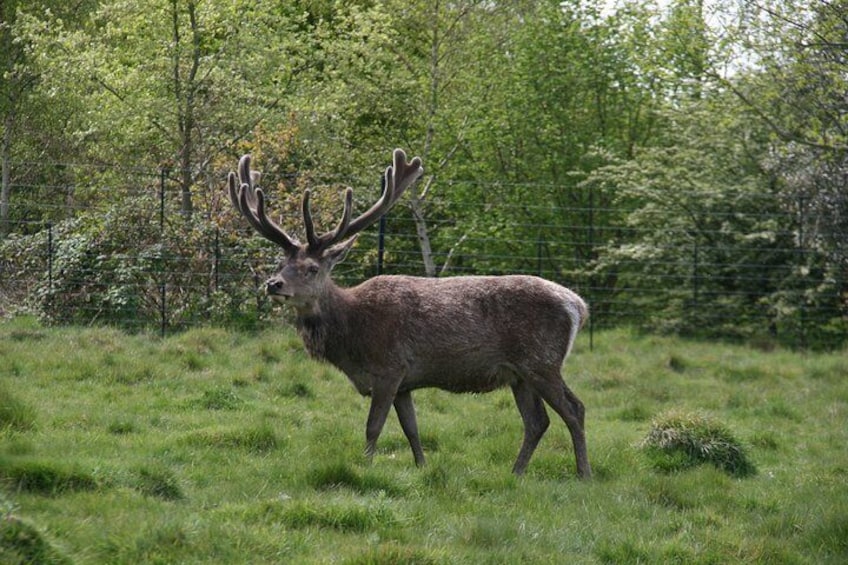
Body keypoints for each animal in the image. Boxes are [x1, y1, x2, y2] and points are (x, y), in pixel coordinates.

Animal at [229, 149, 592, 476]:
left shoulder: (389, 367)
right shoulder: (406, 381)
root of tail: (578, 305)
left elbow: (373, 426)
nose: (273, 284)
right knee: (537, 421)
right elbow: (411, 428)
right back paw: (515, 473)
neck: (351, 340)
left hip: (542, 360)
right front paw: (421, 466)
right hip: (519, 373)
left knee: (574, 409)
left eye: (312, 268)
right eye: (282, 263)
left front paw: (365, 466)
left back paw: (583, 473)